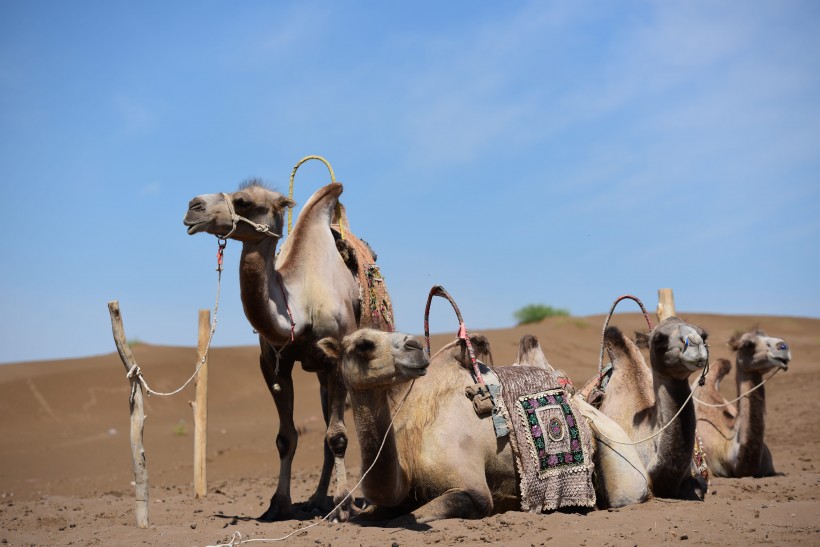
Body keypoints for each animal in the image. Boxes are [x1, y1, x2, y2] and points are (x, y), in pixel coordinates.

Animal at [184, 181, 390, 524]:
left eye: (243, 201)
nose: (193, 206)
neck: (300, 304)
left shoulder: (337, 360)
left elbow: (338, 436)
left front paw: (343, 505)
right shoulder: (273, 363)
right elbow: (287, 437)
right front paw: (278, 505)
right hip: (320, 377)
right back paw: (317, 499)